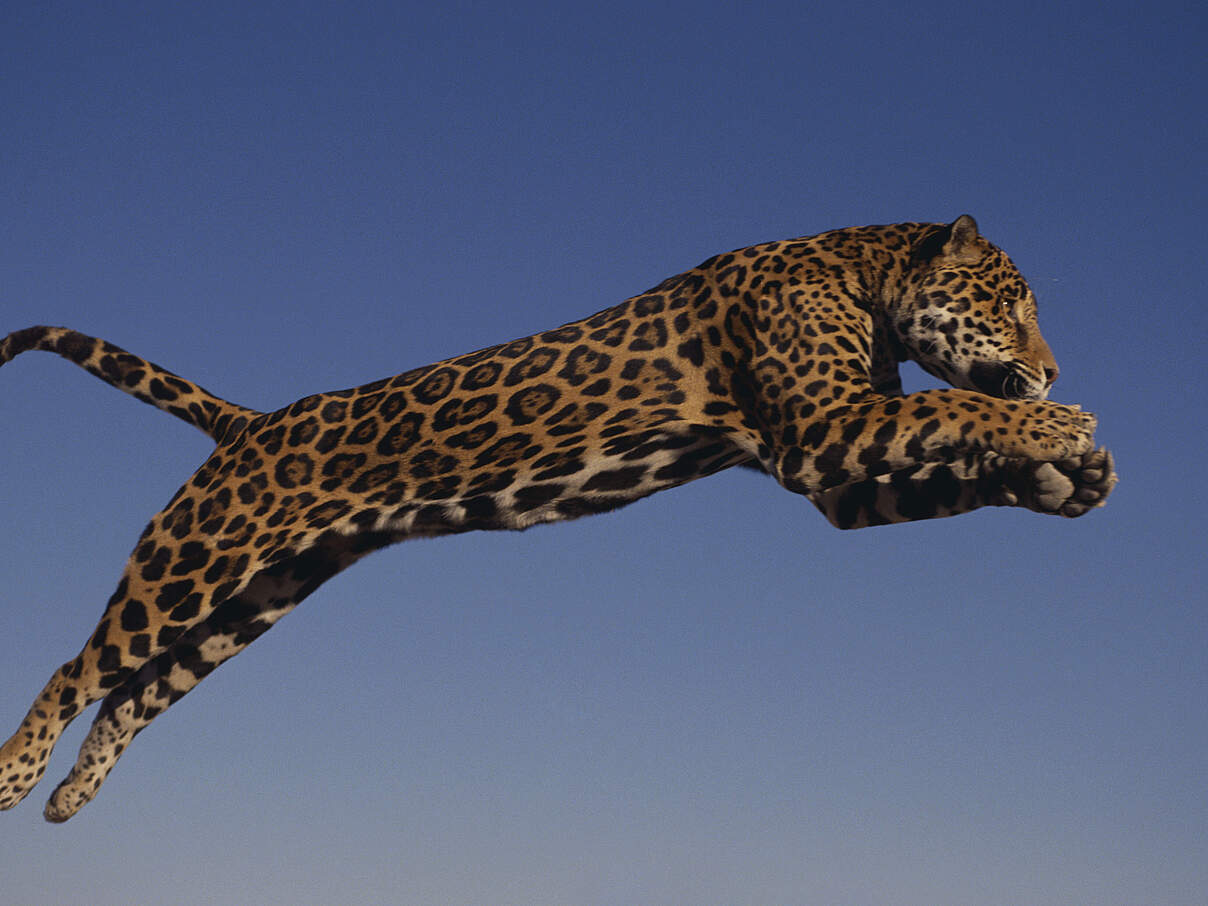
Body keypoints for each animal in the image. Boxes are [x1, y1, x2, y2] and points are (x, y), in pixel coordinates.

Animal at [0, 215, 1116, 822]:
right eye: (1007, 302)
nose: (1053, 366)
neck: (865, 275)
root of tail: (254, 421)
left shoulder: (839, 475)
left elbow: (952, 456)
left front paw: (1067, 474)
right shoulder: (825, 429)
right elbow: (955, 408)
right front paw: (1061, 425)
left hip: (254, 598)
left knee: (133, 695)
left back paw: (69, 797)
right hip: (192, 560)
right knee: (77, 667)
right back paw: (16, 779)